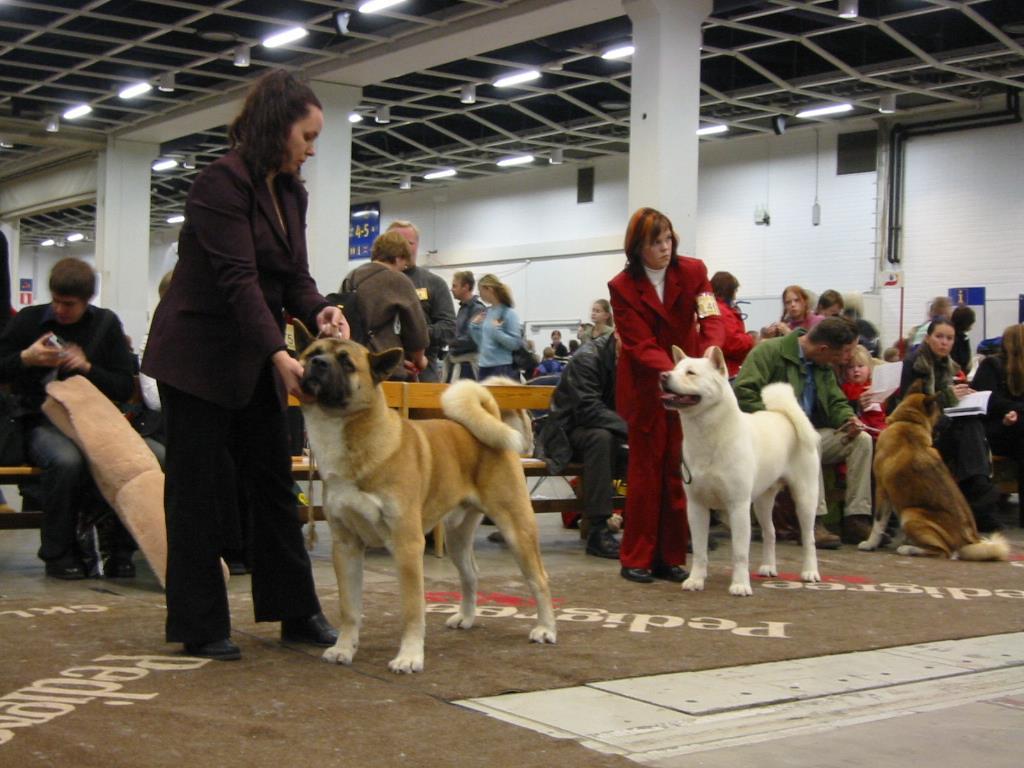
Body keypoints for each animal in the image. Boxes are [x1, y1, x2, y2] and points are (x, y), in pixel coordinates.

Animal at [292, 331, 557, 671]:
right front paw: (344, 648)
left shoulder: (407, 544)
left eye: (346, 362)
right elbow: (349, 608)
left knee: (539, 579)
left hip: (516, 528)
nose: (317, 364)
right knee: (470, 575)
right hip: (457, 536)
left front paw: (409, 657)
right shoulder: (346, 545)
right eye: (313, 352)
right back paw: (466, 617)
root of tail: (491, 420)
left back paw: (546, 629)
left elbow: (412, 610)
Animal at [663, 348, 823, 593]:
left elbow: (739, 553)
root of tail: (784, 415)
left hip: (805, 497)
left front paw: (740, 585)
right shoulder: (696, 506)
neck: (709, 438)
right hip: (762, 500)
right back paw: (768, 567)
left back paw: (810, 572)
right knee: (770, 532)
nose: (663, 376)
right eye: (674, 369)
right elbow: (699, 551)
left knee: (809, 538)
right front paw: (696, 580)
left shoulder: (738, 505)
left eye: (691, 373)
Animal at [856, 382, 1007, 561]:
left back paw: (908, 549)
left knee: (943, 552)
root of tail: (967, 541)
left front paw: (870, 544)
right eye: (940, 411)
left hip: (910, 513)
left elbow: (878, 522)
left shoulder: (881, 490)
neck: (909, 421)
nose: (951, 419)